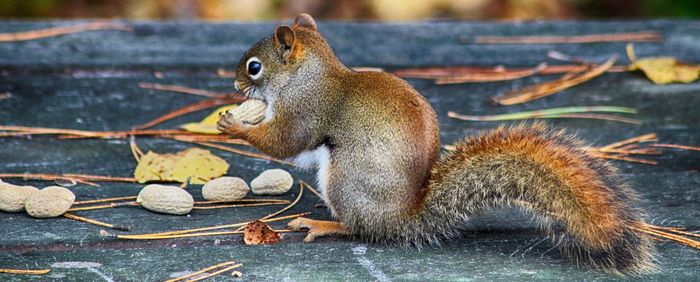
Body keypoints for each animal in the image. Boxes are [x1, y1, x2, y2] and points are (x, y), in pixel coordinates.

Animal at [217, 13, 656, 276]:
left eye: (254, 67)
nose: (235, 83)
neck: (309, 75)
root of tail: (404, 217)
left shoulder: (306, 110)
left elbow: (284, 142)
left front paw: (232, 125)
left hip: (344, 180)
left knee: (359, 228)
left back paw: (324, 224)